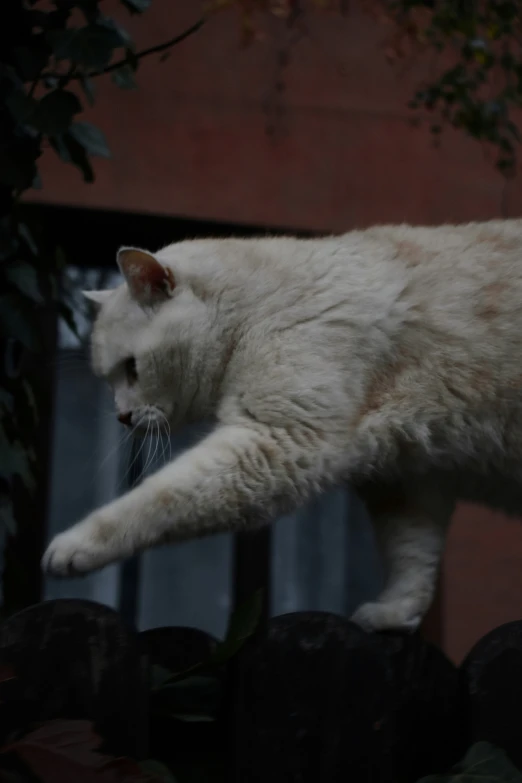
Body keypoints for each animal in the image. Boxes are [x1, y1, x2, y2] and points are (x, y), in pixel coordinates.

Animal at [42, 217, 520, 632]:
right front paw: (392, 614)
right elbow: (411, 555)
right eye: (108, 380)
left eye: (132, 369)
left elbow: (157, 498)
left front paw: (73, 546)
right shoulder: (406, 481)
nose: (121, 417)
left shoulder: (279, 441)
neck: (254, 311)